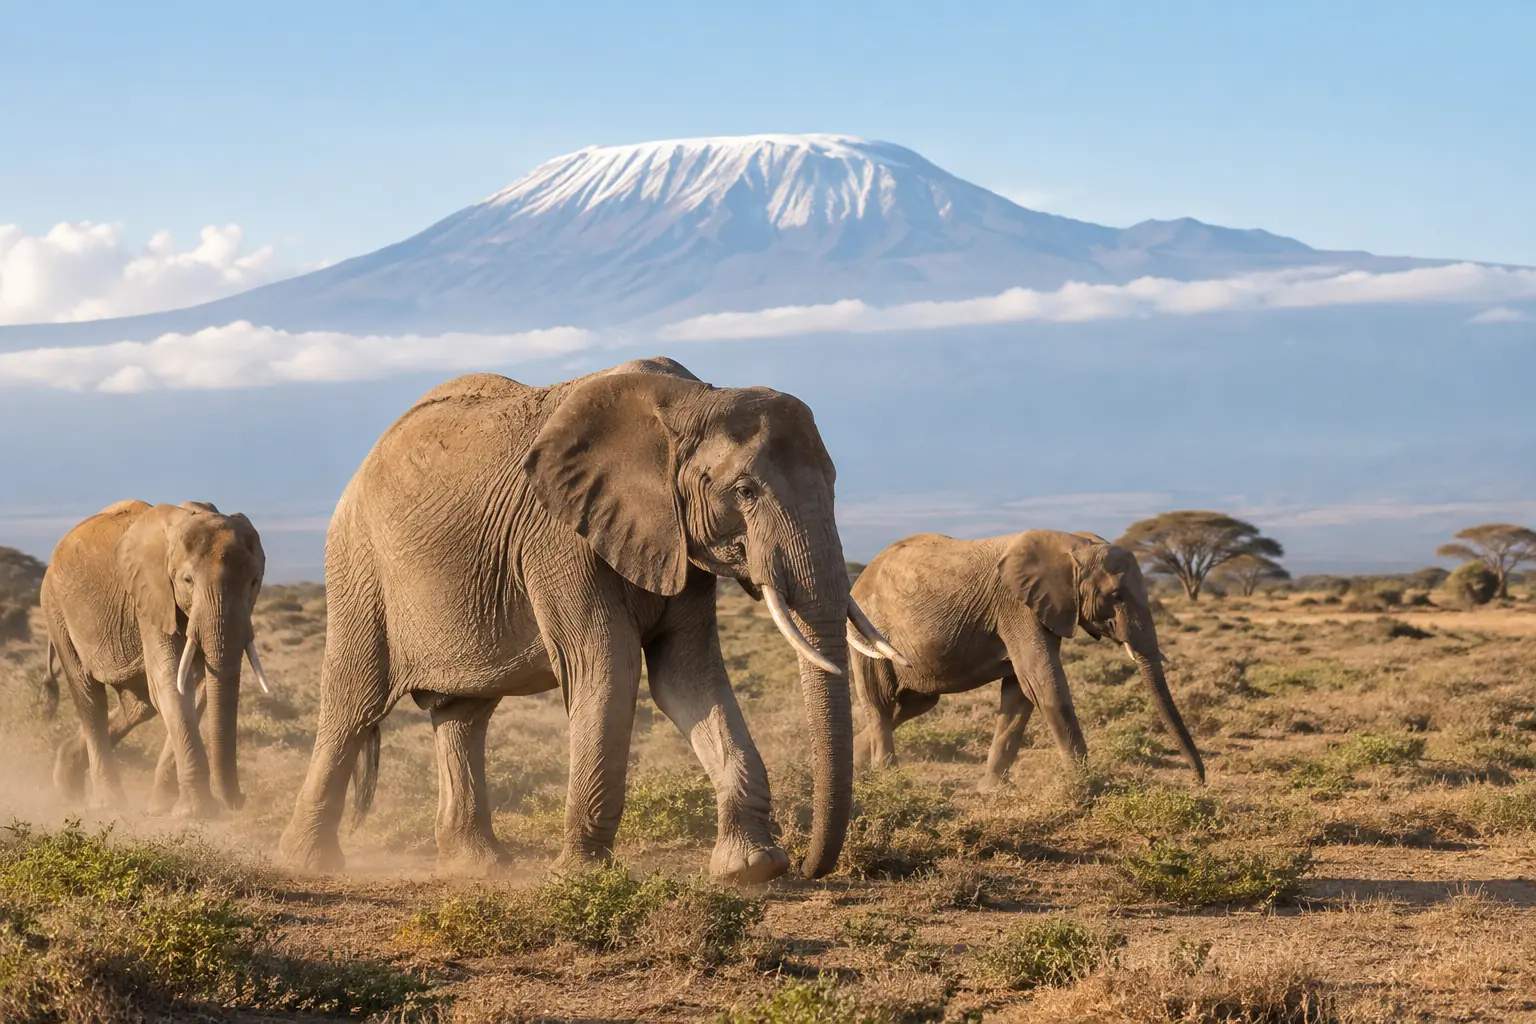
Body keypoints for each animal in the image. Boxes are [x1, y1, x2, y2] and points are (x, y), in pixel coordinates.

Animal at [41, 500, 270, 816]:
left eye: (254, 582)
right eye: (187, 580)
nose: (239, 801)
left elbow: (195, 689)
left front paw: (162, 806)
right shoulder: (151, 596)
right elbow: (169, 683)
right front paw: (194, 812)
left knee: (138, 707)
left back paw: (67, 783)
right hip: (57, 611)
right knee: (89, 696)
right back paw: (106, 803)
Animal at [278, 357, 900, 883]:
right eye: (744, 490)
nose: (811, 869)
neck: (691, 401)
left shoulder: (676, 543)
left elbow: (687, 677)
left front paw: (751, 869)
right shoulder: (560, 538)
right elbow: (606, 669)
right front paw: (579, 877)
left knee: (463, 714)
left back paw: (477, 868)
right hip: (360, 567)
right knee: (353, 703)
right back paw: (311, 864)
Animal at [848, 529, 1205, 791]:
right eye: (1116, 596)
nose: (1198, 781)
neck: (1075, 547)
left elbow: (1020, 692)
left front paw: (992, 790)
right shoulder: (1017, 606)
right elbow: (1042, 683)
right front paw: (1086, 786)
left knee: (913, 704)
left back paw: (855, 762)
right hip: (871, 628)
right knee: (881, 701)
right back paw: (888, 778)